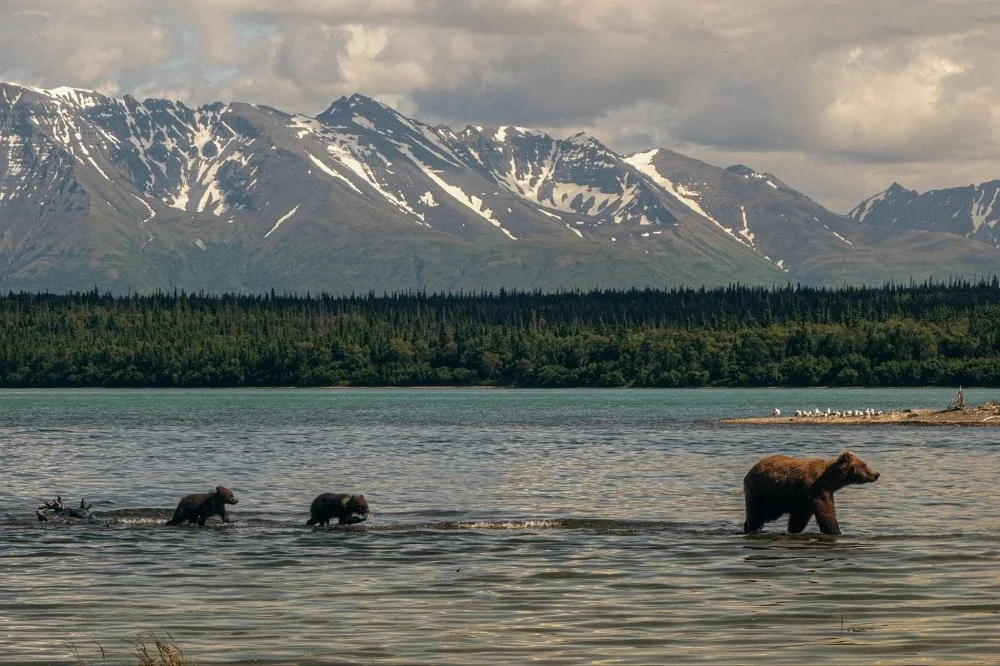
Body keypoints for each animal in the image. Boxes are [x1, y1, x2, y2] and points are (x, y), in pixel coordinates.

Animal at [742, 450, 879, 535]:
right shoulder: (816, 490)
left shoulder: (804, 501)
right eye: (864, 465)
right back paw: (750, 528)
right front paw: (835, 531)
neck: (830, 480)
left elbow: (799, 519)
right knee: (756, 513)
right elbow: (827, 513)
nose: (876, 474)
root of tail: (750, 470)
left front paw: (793, 530)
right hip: (762, 493)